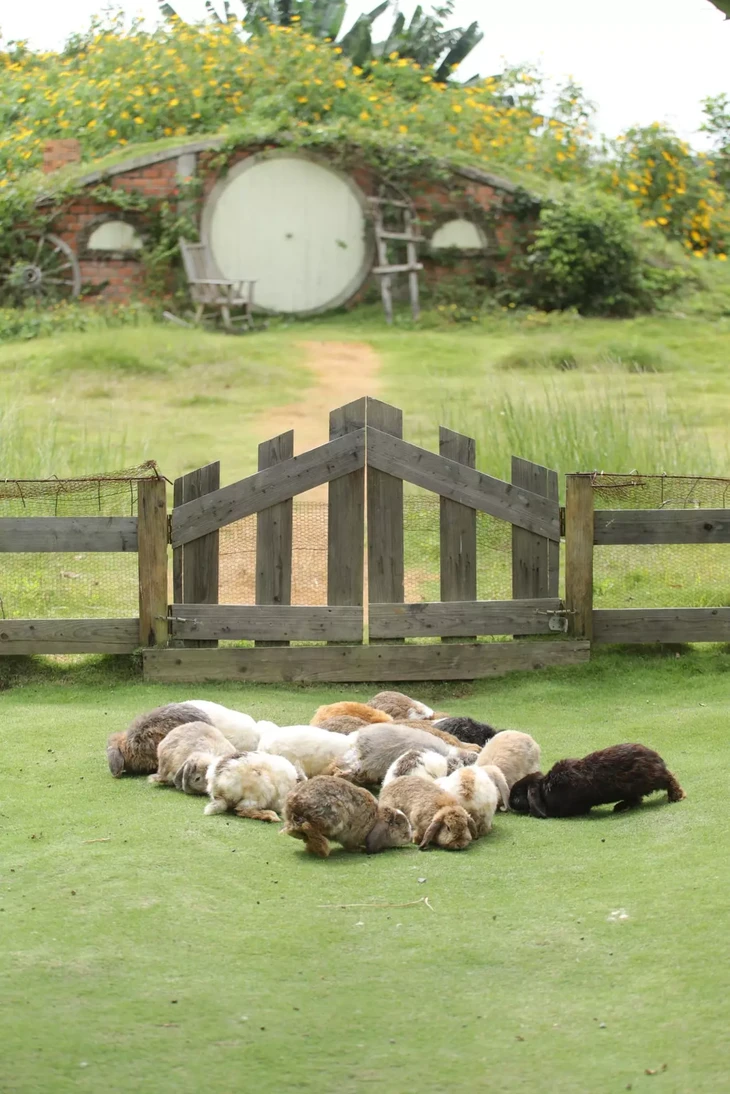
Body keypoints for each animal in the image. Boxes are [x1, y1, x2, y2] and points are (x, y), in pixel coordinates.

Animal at [282, 774, 413, 857]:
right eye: (398, 824)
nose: (410, 837)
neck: (374, 820)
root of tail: (295, 804)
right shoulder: (351, 836)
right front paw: (359, 849)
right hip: (332, 820)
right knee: (309, 828)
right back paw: (323, 850)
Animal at [507, 739, 687, 818]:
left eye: (517, 795)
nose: (509, 802)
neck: (543, 788)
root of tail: (656, 758)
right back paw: (620, 807)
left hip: (648, 780)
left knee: (669, 779)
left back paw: (676, 796)